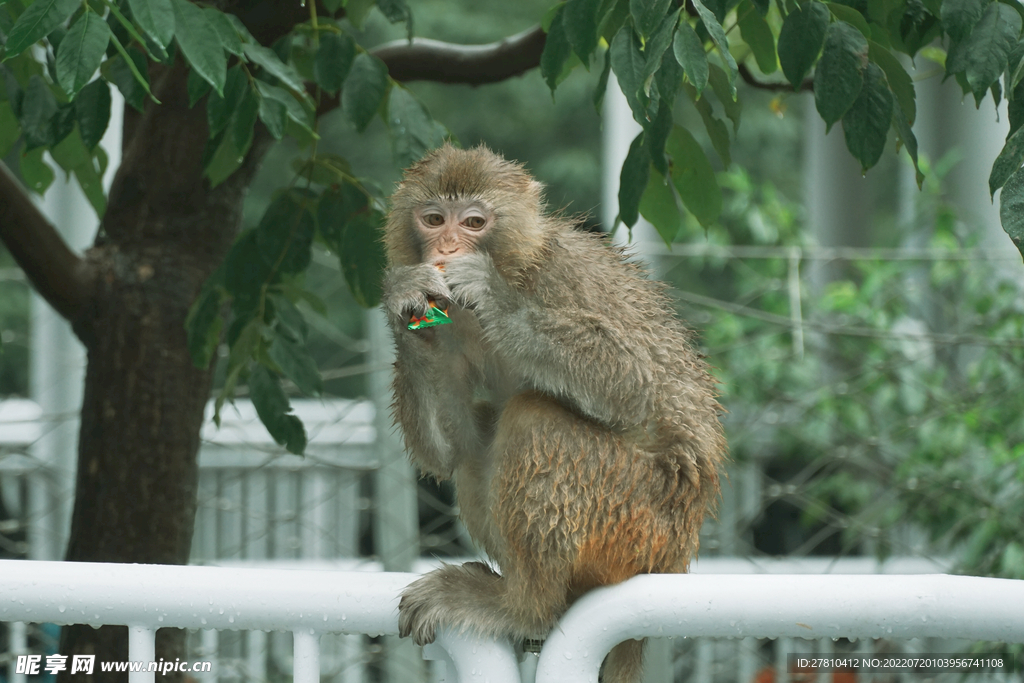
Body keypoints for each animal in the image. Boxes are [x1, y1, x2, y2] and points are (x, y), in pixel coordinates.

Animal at [385, 144, 729, 683]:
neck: (517, 267)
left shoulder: (564, 277)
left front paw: (496, 301)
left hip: (639, 524)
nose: (446, 249)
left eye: (474, 222)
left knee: (533, 421)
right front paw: (406, 298)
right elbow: (451, 451)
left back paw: (525, 608)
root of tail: (679, 551)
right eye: (434, 219)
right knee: (481, 444)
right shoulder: (449, 321)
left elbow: (635, 381)